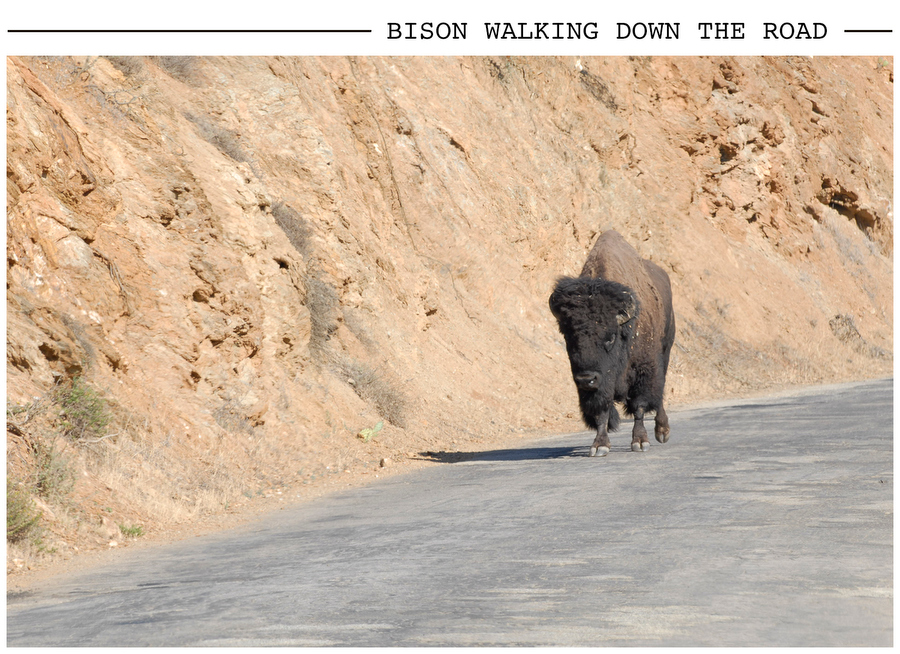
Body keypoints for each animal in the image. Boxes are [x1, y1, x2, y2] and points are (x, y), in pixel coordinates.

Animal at [549, 230, 675, 456]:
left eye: (610, 337)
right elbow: (601, 411)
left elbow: (639, 406)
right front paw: (600, 445)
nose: (586, 379)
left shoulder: (643, 371)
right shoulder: (596, 386)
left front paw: (640, 442)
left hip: (665, 350)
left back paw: (662, 432)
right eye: (569, 338)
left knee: (659, 393)